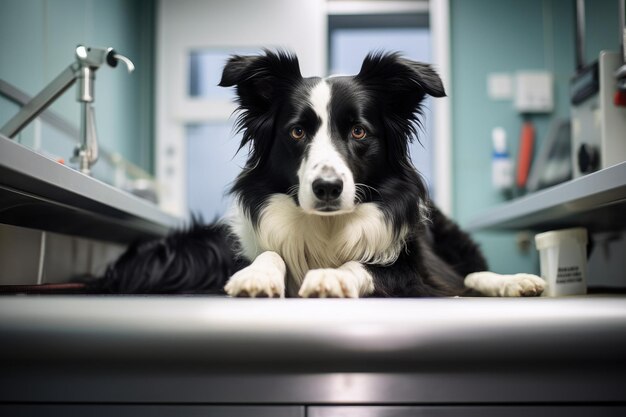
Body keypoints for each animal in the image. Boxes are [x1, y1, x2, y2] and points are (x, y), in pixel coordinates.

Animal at [97, 50, 540, 298]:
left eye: (359, 131)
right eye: (297, 131)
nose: (327, 187)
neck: (326, 228)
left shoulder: (413, 272)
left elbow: (365, 265)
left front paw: (331, 277)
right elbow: (272, 253)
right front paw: (256, 276)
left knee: (471, 274)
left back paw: (516, 281)